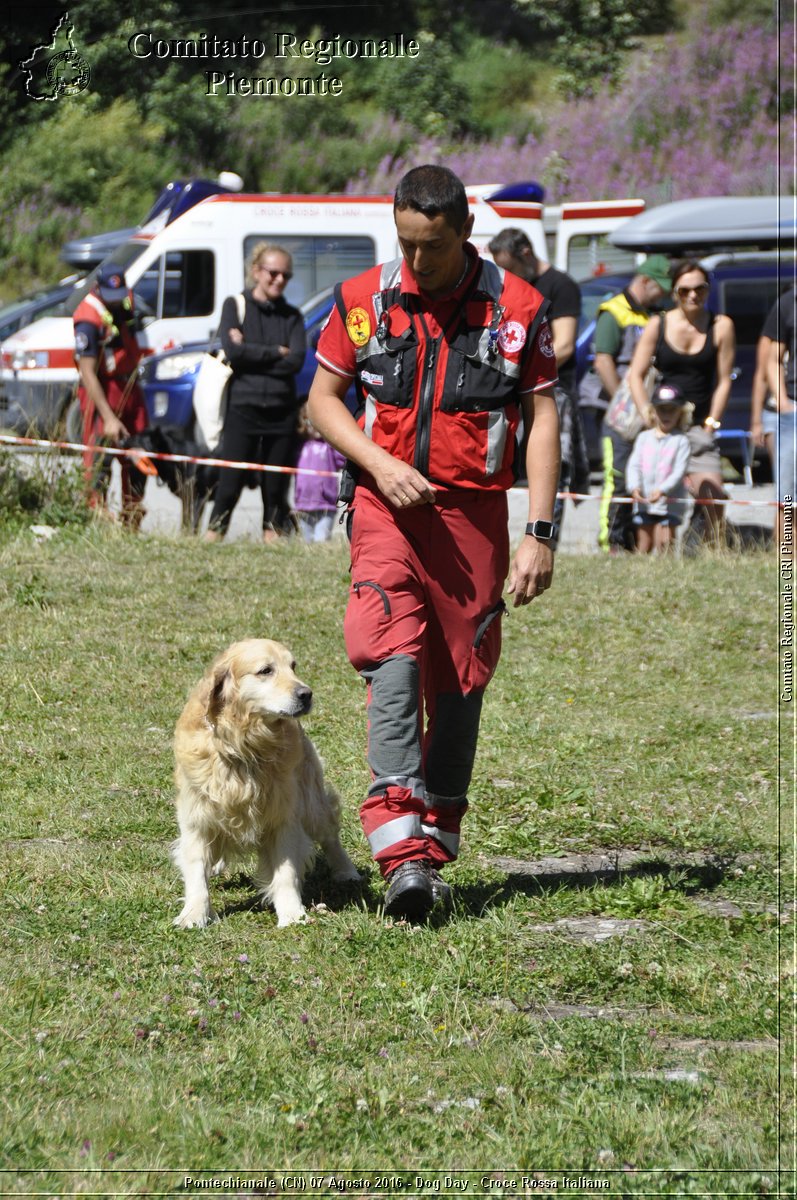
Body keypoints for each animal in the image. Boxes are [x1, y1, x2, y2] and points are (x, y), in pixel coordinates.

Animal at [174, 638, 360, 926]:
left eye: (293, 666)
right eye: (265, 671)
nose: (307, 694)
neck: (243, 744)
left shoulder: (283, 816)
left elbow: (285, 872)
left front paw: (292, 914)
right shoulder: (196, 815)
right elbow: (196, 870)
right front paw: (194, 913)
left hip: (312, 803)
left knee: (330, 836)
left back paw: (346, 871)